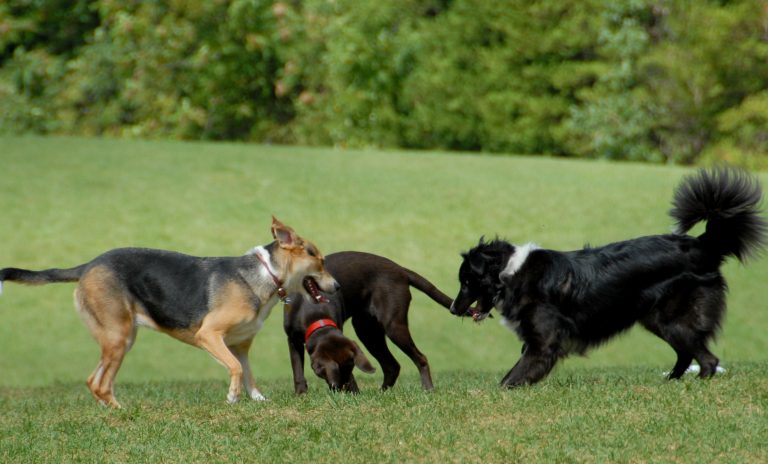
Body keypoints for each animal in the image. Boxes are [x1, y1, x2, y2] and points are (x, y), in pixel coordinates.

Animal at [0, 218, 336, 406]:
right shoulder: (209, 335)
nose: (336, 285)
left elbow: (249, 373)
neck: (267, 274)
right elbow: (236, 369)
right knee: (99, 383)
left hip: (121, 339)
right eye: (318, 259)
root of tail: (89, 266)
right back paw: (124, 413)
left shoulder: (240, 345)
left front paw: (257, 400)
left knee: (95, 382)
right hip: (118, 337)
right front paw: (232, 398)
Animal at [282, 252, 452, 394]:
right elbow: (297, 370)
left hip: (392, 326)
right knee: (392, 366)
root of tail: (400, 269)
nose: (352, 394)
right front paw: (301, 394)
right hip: (367, 330)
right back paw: (382, 392)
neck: (315, 314)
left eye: (350, 368)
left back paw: (427, 389)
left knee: (420, 358)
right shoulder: (292, 339)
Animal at [452, 168, 764, 388]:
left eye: (466, 282)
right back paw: (669, 383)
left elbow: (512, 377)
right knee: (688, 355)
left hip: (673, 319)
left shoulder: (543, 343)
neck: (510, 271)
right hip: (656, 319)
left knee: (707, 359)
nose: (454, 309)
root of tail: (703, 244)